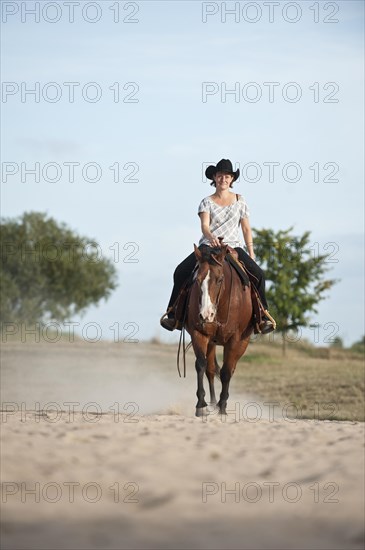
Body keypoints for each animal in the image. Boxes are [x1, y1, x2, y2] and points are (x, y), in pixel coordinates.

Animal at [185, 242, 253, 418]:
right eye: (197, 280)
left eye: (220, 279)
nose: (206, 314)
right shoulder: (199, 334)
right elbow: (201, 365)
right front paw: (201, 405)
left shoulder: (235, 339)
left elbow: (226, 372)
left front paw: (223, 407)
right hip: (211, 342)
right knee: (210, 369)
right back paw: (212, 403)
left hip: (242, 342)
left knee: (230, 368)